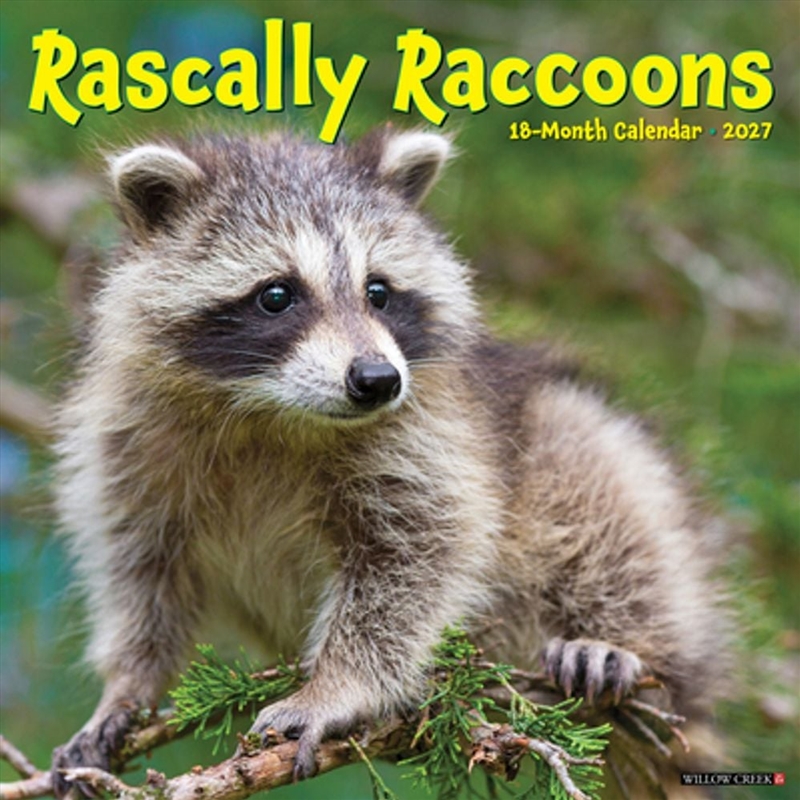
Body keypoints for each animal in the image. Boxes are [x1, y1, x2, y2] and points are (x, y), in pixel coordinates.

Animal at [52, 126, 727, 795]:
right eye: (277, 295)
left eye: (377, 291)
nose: (377, 380)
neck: (272, 411)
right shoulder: (132, 440)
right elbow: (141, 571)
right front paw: (128, 684)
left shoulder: (432, 432)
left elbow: (419, 556)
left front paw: (336, 685)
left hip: (580, 454)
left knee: (604, 491)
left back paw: (627, 644)